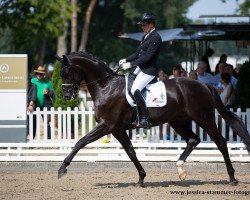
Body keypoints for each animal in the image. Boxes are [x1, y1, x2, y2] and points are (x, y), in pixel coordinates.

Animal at [55, 51, 250, 186]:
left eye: (66, 72)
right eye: (61, 73)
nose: (66, 96)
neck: (106, 86)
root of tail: (202, 84)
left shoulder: (106, 126)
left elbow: (80, 142)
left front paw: (62, 168)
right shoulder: (118, 129)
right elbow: (131, 152)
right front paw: (141, 178)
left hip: (204, 118)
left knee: (221, 142)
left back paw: (232, 177)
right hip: (177, 121)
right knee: (193, 139)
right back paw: (180, 169)